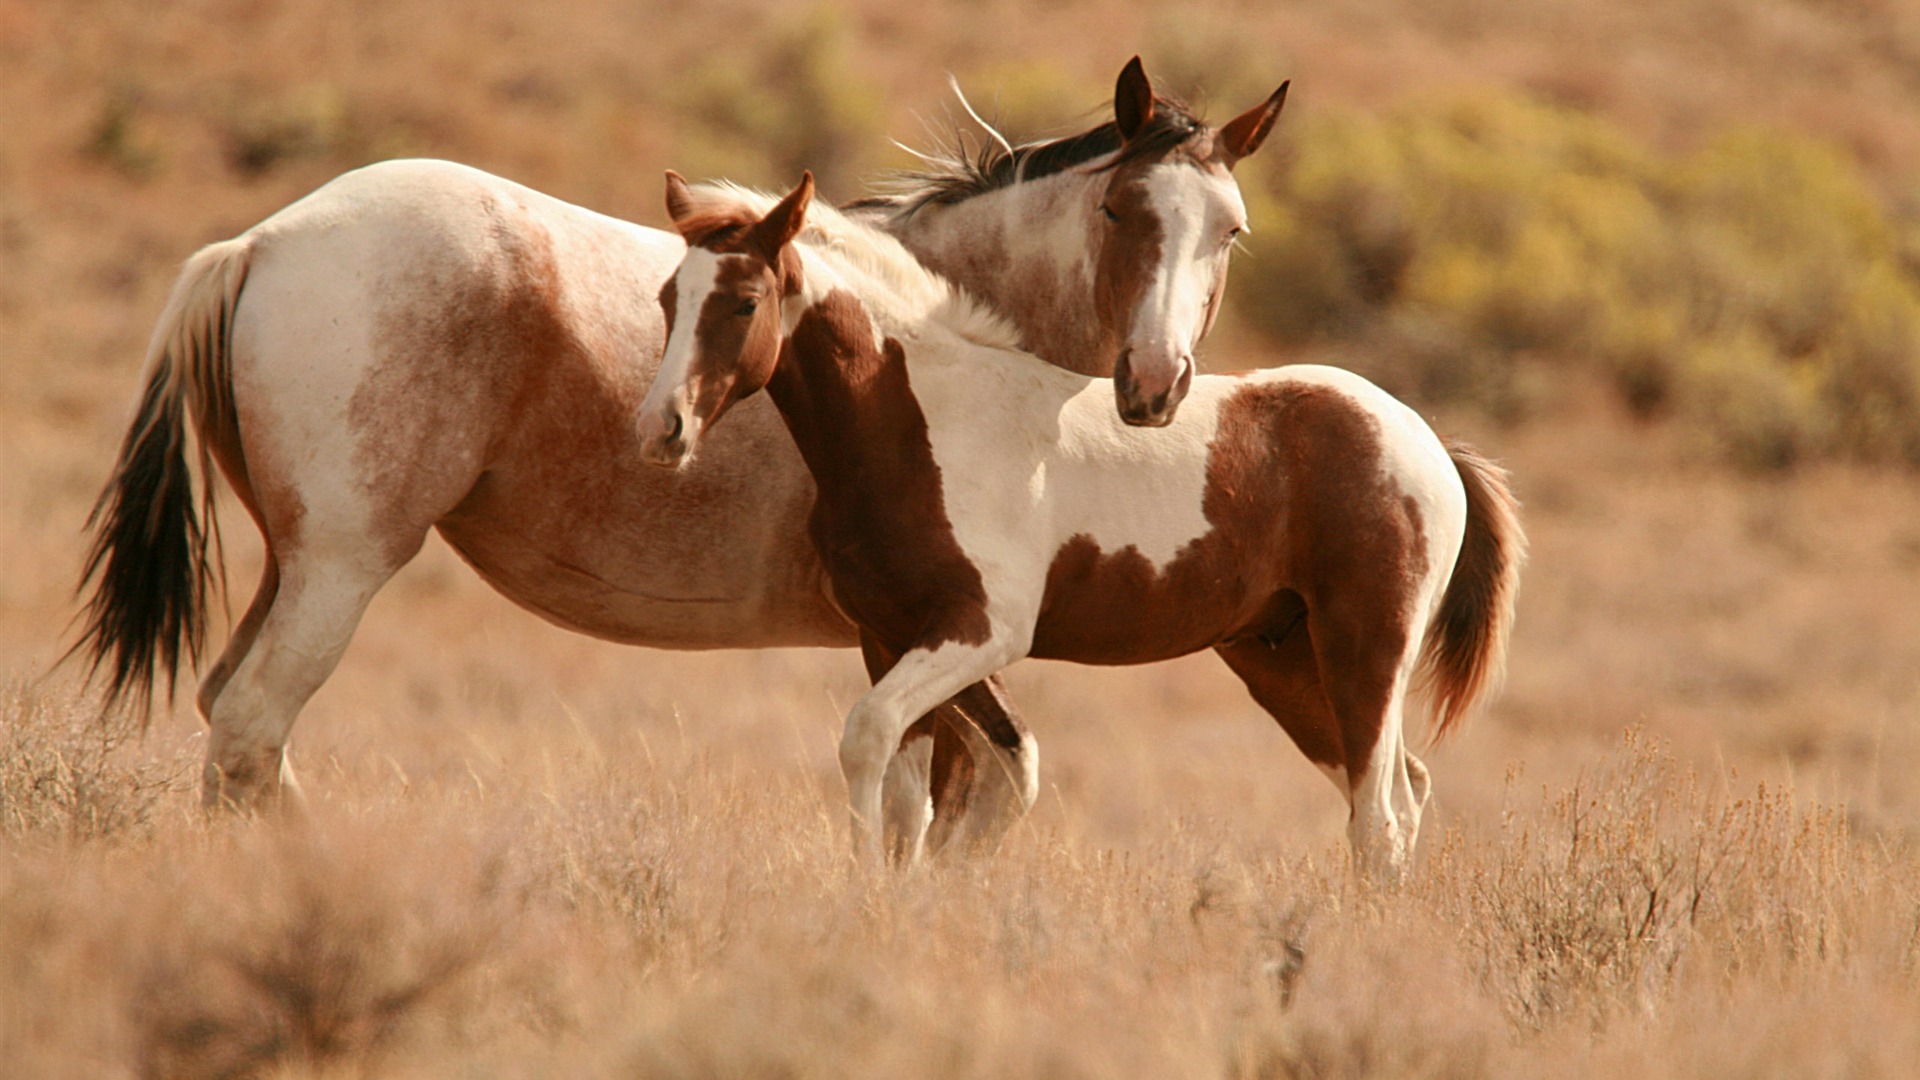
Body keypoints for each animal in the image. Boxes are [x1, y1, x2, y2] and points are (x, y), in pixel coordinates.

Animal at [74, 61, 1290, 857]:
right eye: (1123, 208)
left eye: (1229, 229)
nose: (1156, 384)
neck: (941, 345)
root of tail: (260, 243)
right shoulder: (934, 637)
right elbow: (962, 797)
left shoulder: (922, 644)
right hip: (340, 567)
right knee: (250, 730)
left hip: (294, 565)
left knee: (237, 728)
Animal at [645, 178, 1528, 876]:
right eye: (666, 300)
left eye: (745, 302)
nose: (662, 428)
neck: (920, 421)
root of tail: (1424, 438)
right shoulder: (890, 636)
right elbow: (907, 796)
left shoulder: (982, 631)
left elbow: (867, 739)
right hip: (1283, 660)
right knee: (1398, 793)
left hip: (1365, 648)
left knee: (1380, 817)